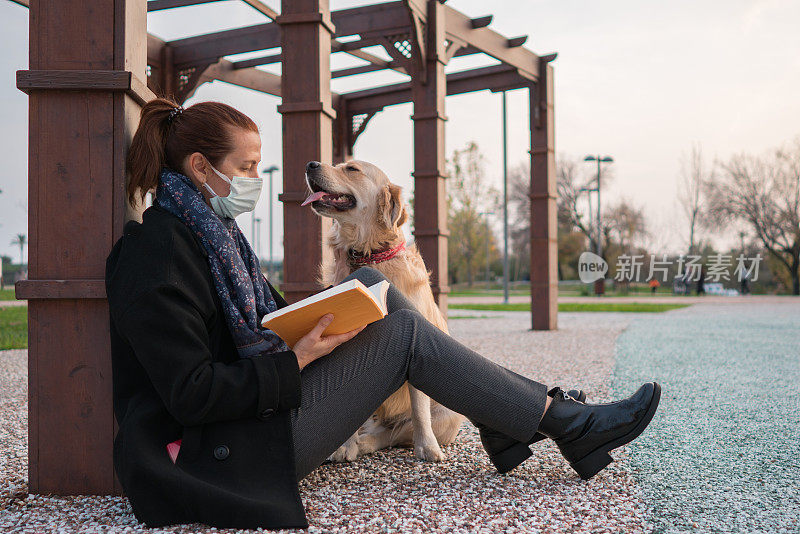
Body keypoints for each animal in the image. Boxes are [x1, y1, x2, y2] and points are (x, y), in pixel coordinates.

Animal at [304, 160, 466, 464]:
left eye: (351, 169)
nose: (311, 164)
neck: (369, 257)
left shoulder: (417, 339)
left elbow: (419, 409)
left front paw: (427, 448)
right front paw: (343, 445)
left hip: (447, 414)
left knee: (392, 434)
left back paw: (368, 442)